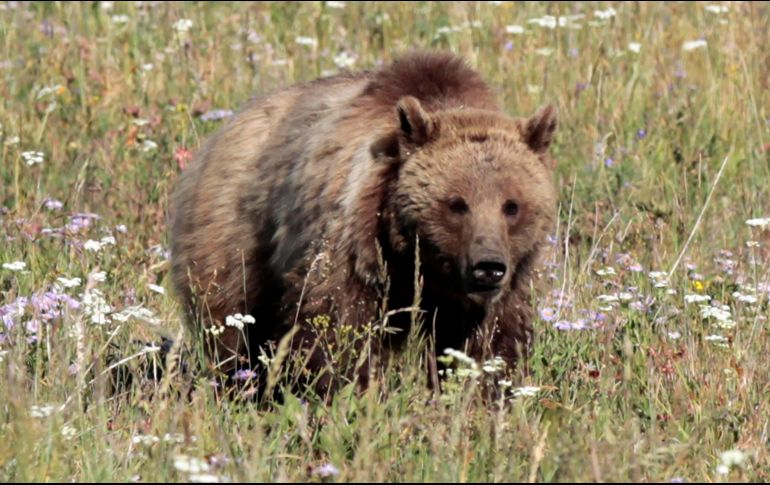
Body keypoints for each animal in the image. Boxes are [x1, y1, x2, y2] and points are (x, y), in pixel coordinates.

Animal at [169, 51, 558, 399]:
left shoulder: (496, 292)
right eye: (456, 204)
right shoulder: (352, 243)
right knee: (230, 325)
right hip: (234, 236)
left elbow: (490, 341)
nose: (488, 266)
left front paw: (481, 395)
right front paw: (352, 393)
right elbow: (339, 327)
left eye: (512, 206)